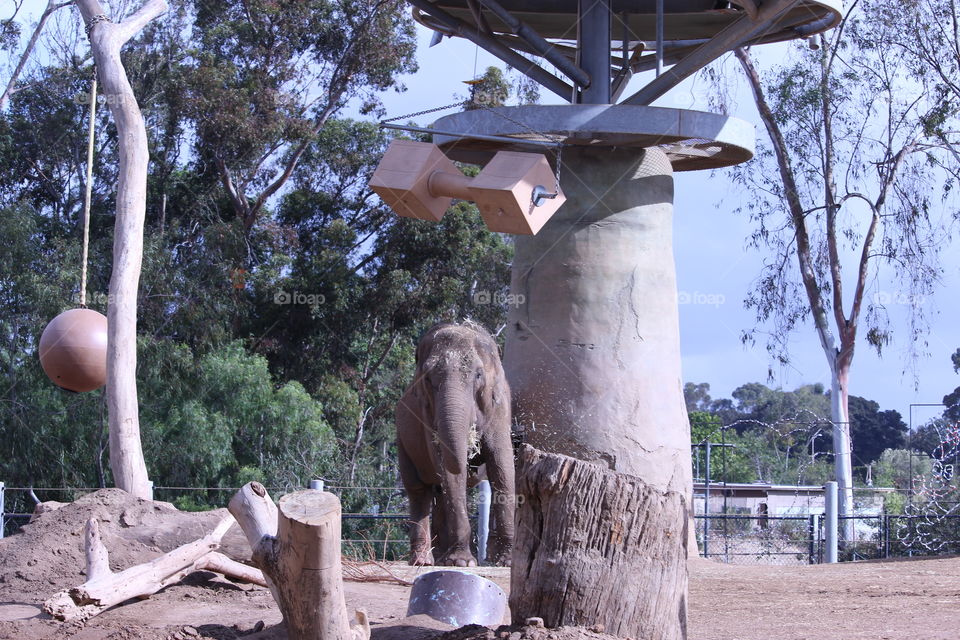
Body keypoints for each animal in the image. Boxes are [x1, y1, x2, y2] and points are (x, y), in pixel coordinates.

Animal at [396, 321, 515, 566]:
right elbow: (448, 470)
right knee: (419, 490)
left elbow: (502, 464)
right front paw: (462, 563)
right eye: (428, 379)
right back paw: (423, 561)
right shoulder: (427, 416)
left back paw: (442, 559)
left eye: (478, 375)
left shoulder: (500, 408)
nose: (472, 462)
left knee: (439, 493)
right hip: (402, 440)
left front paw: (507, 561)